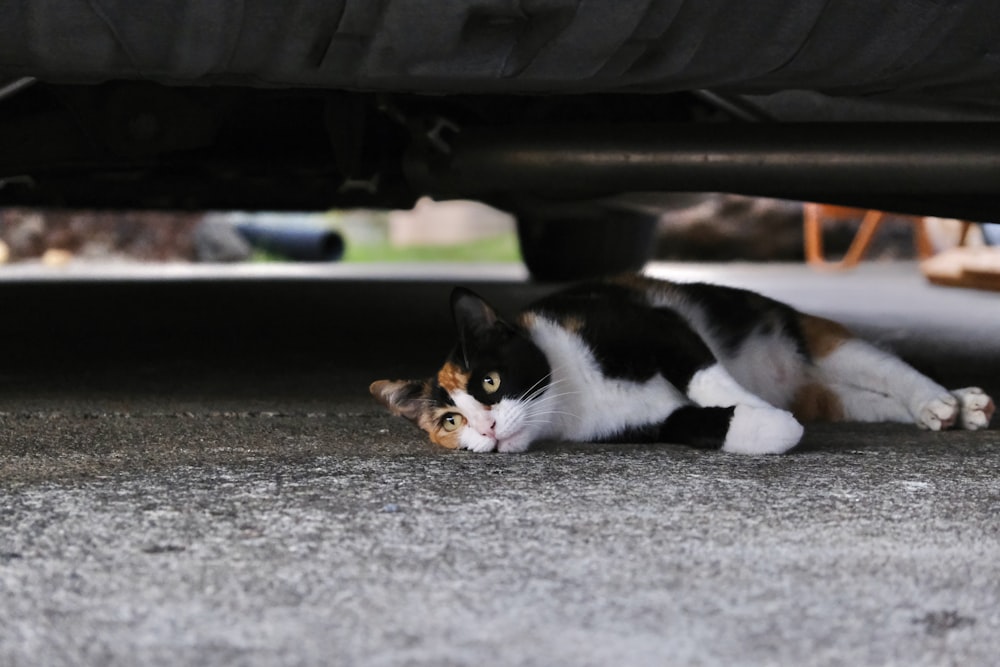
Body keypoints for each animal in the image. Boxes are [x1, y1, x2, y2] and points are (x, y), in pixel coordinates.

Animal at [370, 274, 992, 456]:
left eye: (491, 380)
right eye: (450, 421)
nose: (489, 427)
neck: (572, 393)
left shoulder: (652, 324)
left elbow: (704, 373)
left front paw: (755, 406)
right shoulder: (642, 425)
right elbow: (700, 423)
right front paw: (772, 427)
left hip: (811, 336)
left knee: (887, 368)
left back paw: (945, 399)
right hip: (830, 392)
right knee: (862, 399)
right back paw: (948, 410)